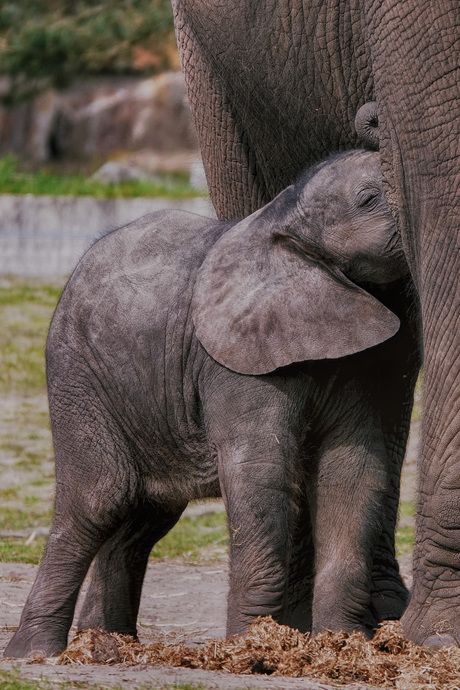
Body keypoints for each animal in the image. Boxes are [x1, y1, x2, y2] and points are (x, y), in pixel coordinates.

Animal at [4, 148, 420, 652]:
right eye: (368, 198)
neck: (285, 219)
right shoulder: (234, 362)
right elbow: (259, 470)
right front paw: (251, 647)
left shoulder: (357, 363)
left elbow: (352, 470)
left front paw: (341, 644)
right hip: (77, 374)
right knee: (99, 499)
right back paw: (36, 652)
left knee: (145, 514)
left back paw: (108, 645)